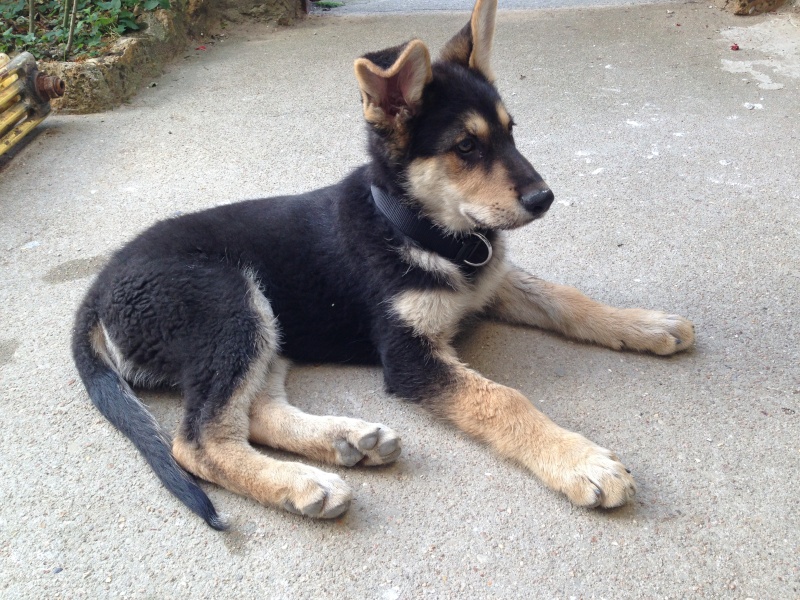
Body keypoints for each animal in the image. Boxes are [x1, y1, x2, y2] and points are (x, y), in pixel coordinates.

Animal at [72, 0, 692, 528]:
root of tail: (97, 290)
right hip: (230, 304)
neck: (420, 230)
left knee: (254, 411)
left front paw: (644, 324)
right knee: (199, 440)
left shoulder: (491, 280)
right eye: (466, 147)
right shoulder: (408, 355)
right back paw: (303, 485)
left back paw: (347, 441)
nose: (545, 199)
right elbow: (503, 398)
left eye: (511, 132)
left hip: (267, 326)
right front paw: (580, 461)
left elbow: (565, 298)